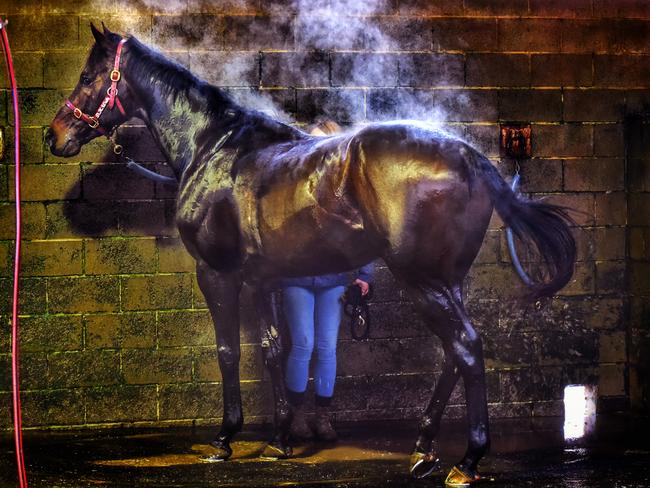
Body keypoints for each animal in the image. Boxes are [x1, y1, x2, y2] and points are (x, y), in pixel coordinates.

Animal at [44, 25, 572, 484]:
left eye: (88, 76)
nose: (54, 135)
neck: (212, 147)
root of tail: (469, 155)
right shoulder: (264, 279)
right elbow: (274, 349)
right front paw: (280, 438)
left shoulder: (216, 273)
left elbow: (229, 351)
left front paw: (225, 438)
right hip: (445, 281)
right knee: (452, 354)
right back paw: (423, 450)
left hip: (423, 280)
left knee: (466, 348)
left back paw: (467, 461)